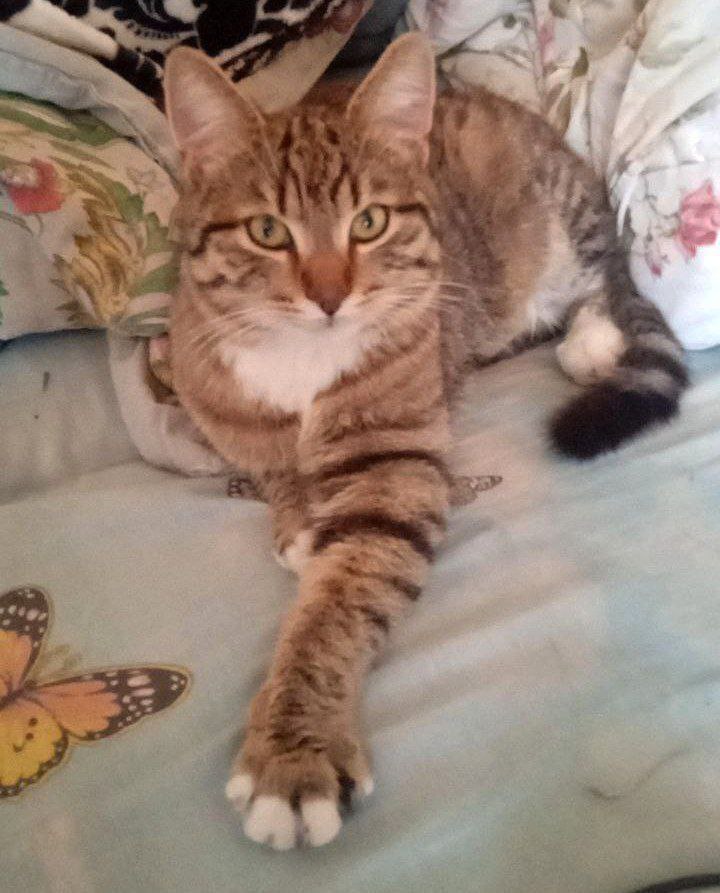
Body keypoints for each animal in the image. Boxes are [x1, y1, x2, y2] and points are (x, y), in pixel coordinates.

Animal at [163, 33, 687, 849]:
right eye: (267, 231)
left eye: (369, 223)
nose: (329, 295)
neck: (301, 360)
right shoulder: (212, 396)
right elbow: (268, 457)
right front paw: (299, 512)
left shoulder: (397, 464)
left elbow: (341, 600)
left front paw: (295, 749)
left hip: (557, 225)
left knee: (607, 281)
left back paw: (591, 338)